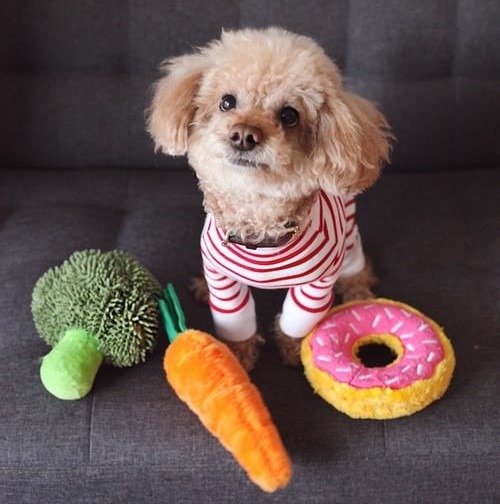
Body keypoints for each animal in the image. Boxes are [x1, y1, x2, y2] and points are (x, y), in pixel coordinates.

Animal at [148, 27, 390, 372]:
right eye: (227, 102)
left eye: (289, 115)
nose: (243, 135)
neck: (258, 223)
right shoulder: (222, 278)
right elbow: (236, 323)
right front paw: (236, 359)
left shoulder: (315, 285)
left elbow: (296, 321)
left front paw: (293, 350)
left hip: (349, 237)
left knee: (358, 267)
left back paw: (358, 291)